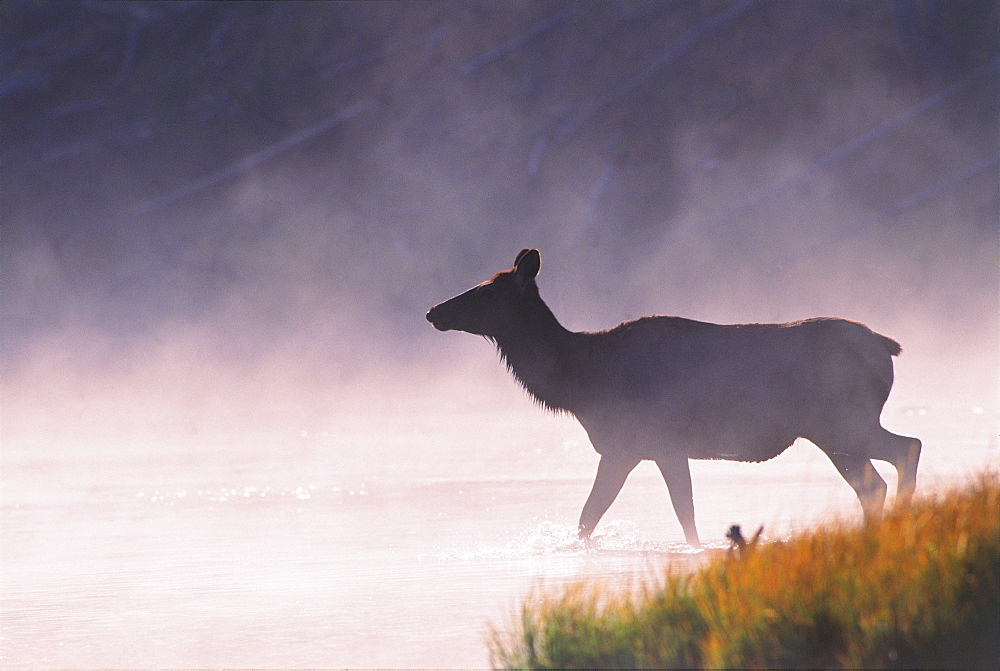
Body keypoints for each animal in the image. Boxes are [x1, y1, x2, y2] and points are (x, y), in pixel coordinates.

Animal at [426, 248, 924, 544]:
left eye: (485, 291)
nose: (433, 310)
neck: (581, 381)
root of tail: (886, 346)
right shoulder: (627, 449)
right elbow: (590, 517)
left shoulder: (655, 443)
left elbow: (676, 514)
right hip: (839, 431)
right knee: (882, 475)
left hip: (842, 423)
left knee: (901, 455)